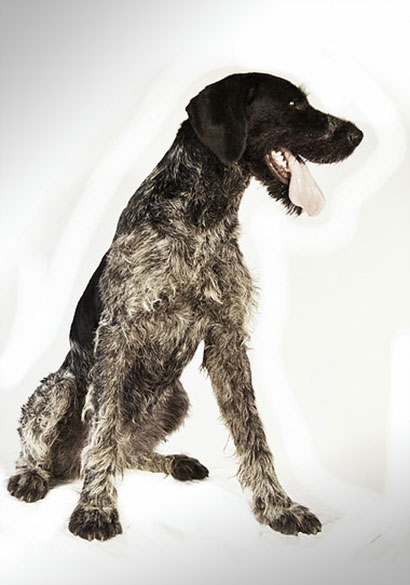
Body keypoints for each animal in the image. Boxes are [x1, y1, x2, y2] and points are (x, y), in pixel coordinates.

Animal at [7, 72, 363, 540]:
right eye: (292, 104)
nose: (356, 135)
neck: (202, 217)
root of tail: (65, 468)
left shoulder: (227, 339)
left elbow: (253, 432)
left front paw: (277, 505)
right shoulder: (118, 334)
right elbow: (103, 429)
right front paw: (96, 508)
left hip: (175, 397)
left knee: (127, 451)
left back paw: (173, 461)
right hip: (61, 387)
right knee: (52, 446)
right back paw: (31, 475)